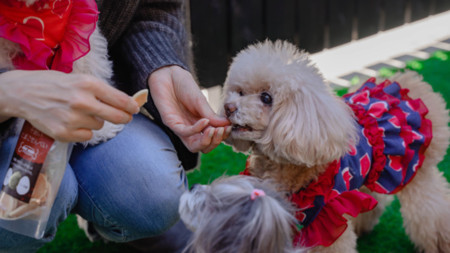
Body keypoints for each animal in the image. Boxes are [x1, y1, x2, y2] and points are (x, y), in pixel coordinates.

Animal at [221, 40, 450, 252]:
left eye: (266, 97)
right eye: (239, 92)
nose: (228, 107)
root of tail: (410, 81)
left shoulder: (327, 220)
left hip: (415, 173)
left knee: (431, 211)